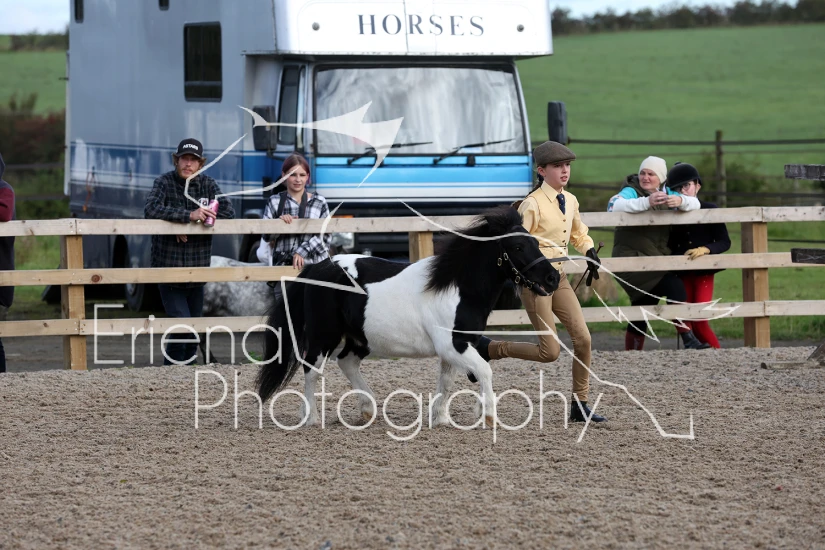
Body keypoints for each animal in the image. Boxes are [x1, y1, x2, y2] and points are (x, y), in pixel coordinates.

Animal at [256, 206, 560, 427]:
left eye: (535, 242)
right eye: (518, 247)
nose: (552, 278)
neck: (457, 287)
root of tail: (316, 269)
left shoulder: (456, 347)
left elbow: (447, 381)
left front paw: (440, 419)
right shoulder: (453, 345)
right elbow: (484, 370)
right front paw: (489, 417)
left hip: (359, 338)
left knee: (347, 362)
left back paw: (367, 410)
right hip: (324, 335)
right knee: (311, 369)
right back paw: (311, 418)